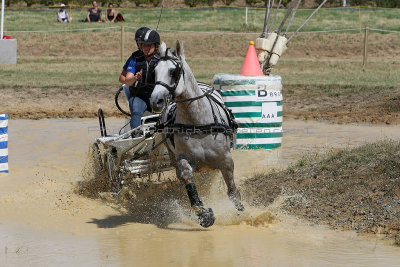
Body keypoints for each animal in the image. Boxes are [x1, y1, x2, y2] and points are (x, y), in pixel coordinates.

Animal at [150, 42, 244, 228]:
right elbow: (187, 177)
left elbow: (232, 192)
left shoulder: (226, 160)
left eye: (173, 71)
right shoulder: (183, 158)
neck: (197, 122)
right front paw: (203, 213)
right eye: (154, 70)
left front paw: (243, 212)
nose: (155, 101)